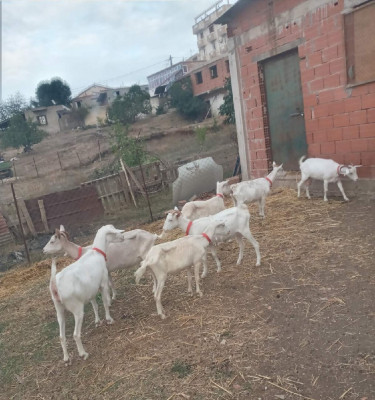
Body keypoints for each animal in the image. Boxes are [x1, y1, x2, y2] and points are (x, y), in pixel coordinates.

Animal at [48, 223, 123, 364]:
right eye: (114, 232)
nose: (123, 237)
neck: (96, 253)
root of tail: (55, 284)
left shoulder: (90, 291)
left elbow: (95, 305)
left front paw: (98, 321)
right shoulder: (103, 284)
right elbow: (105, 302)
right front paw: (109, 319)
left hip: (58, 309)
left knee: (61, 336)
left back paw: (66, 359)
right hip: (77, 309)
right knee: (76, 334)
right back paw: (83, 354)